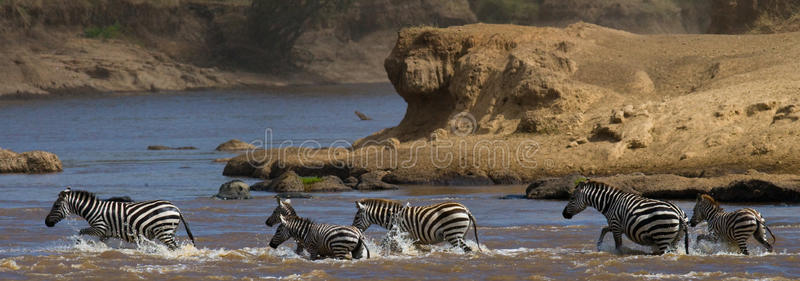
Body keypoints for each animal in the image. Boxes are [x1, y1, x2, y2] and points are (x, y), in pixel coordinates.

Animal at [44, 186, 195, 249]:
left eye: (56, 206)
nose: (46, 223)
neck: (93, 210)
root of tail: (176, 208)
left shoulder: (100, 227)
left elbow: (81, 231)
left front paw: (79, 244)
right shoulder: (105, 233)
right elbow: (100, 242)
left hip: (164, 231)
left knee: (175, 248)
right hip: (169, 231)